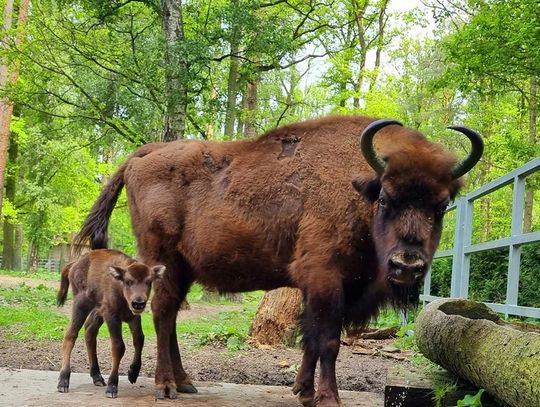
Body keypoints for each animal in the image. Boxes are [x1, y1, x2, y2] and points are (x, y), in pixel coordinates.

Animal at [56, 249, 165, 398]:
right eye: (128, 281)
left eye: (149, 282)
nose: (138, 303)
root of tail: (74, 264)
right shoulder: (112, 316)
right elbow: (118, 346)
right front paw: (112, 387)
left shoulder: (133, 317)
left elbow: (139, 339)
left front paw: (133, 373)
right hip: (81, 304)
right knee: (70, 335)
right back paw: (63, 381)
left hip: (97, 311)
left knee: (90, 332)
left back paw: (97, 377)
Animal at [75, 116, 480, 406]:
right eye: (385, 199)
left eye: (440, 206)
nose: (406, 265)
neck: (357, 186)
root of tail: (142, 154)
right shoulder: (325, 278)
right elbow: (327, 340)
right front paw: (328, 399)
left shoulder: (324, 288)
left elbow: (310, 338)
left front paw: (303, 391)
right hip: (162, 259)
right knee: (161, 313)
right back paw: (165, 387)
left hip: (184, 268)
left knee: (171, 315)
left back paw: (186, 382)